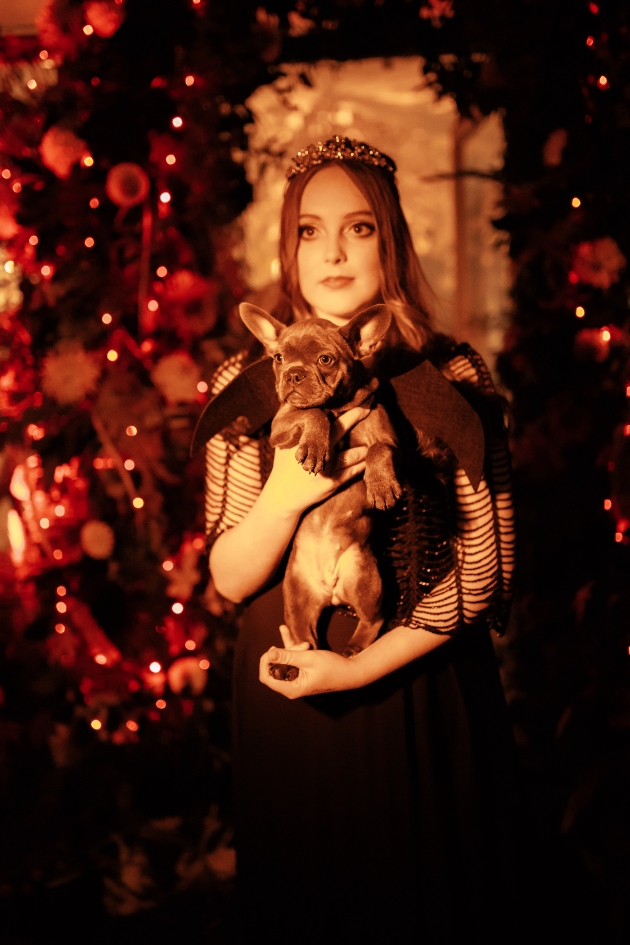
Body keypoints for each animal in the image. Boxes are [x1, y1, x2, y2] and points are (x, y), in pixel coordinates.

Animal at [239, 302, 402, 664]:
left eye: (325, 359)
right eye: (278, 358)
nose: (293, 374)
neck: (337, 406)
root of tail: (330, 591)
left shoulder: (390, 439)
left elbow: (379, 448)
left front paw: (380, 484)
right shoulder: (282, 425)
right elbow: (311, 413)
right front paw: (316, 445)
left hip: (366, 580)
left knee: (375, 617)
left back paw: (353, 649)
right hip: (297, 597)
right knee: (305, 637)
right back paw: (290, 665)